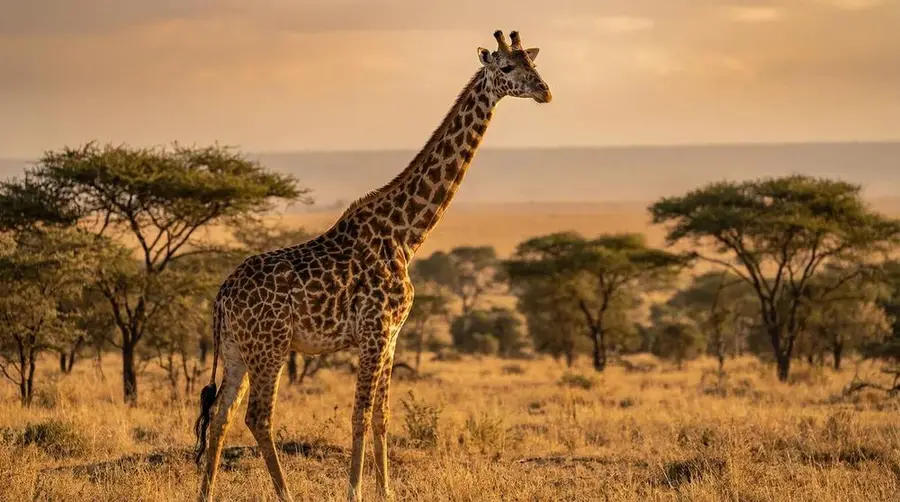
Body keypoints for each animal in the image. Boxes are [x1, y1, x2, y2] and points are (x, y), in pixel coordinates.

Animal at [193, 29, 552, 502]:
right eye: (508, 68)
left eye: (534, 63)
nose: (545, 91)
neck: (406, 236)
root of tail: (221, 296)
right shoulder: (374, 331)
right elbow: (360, 414)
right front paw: (355, 491)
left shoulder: (393, 335)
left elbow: (382, 415)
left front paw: (387, 491)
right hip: (270, 346)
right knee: (257, 416)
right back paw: (285, 493)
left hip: (237, 349)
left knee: (220, 415)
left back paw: (206, 493)